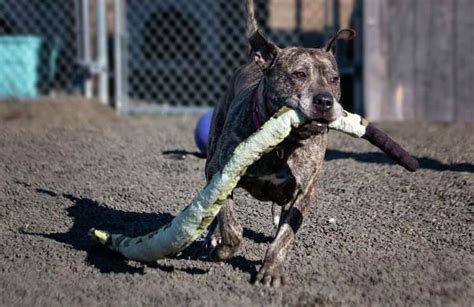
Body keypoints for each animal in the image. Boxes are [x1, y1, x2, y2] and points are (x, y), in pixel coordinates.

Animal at [205, 0, 356, 288]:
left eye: (335, 79)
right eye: (299, 74)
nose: (325, 100)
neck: (283, 143)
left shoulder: (304, 193)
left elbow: (285, 237)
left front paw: (272, 269)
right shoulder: (222, 171)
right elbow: (230, 222)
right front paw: (224, 247)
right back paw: (213, 235)